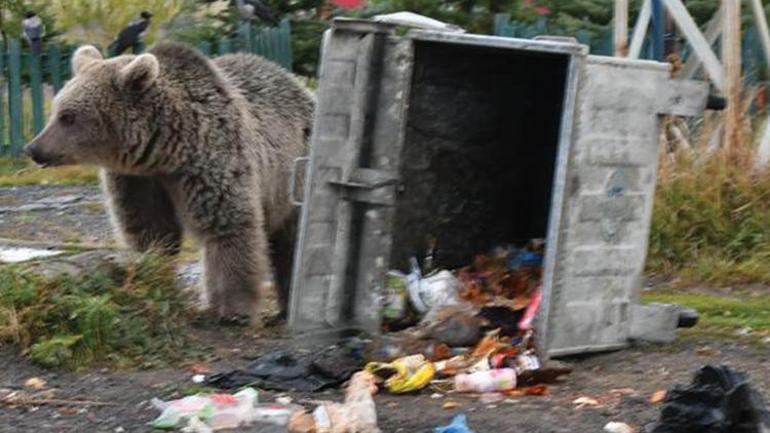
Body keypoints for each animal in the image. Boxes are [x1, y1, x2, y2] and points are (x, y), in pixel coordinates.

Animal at [24, 42, 312, 322]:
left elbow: (228, 226)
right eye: (56, 110)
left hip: (294, 172)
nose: (34, 148)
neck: (167, 151)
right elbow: (151, 229)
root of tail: (298, 84)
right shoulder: (138, 180)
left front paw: (235, 310)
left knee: (292, 240)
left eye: (68, 116)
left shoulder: (211, 160)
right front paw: (153, 277)